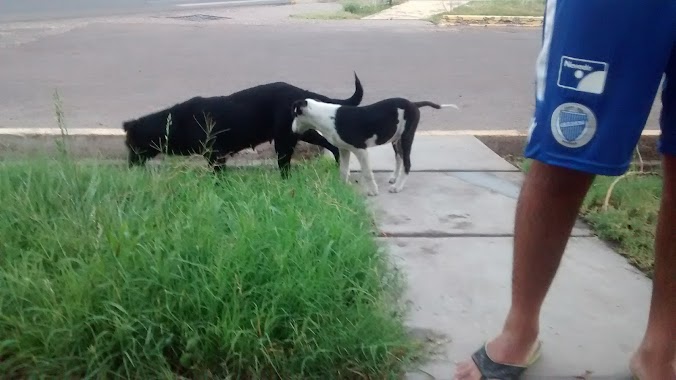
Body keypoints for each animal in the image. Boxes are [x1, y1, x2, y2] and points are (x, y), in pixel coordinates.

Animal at [121, 73, 364, 177]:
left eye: (132, 146)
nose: (129, 167)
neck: (173, 123)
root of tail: (299, 93)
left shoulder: (216, 155)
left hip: (284, 142)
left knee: (287, 167)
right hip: (298, 133)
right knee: (330, 145)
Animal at [288, 96, 456, 196]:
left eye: (294, 114)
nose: (292, 130)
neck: (324, 116)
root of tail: (414, 104)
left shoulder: (360, 150)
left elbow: (368, 173)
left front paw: (373, 191)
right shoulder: (344, 149)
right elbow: (343, 169)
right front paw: (342, 187)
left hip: (406, 137)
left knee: (407, 163)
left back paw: (398, 187)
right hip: (396, 140)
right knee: (399, 158)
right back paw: (394, 178)